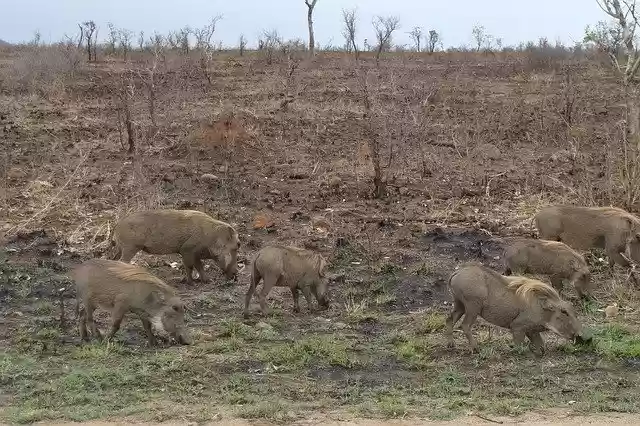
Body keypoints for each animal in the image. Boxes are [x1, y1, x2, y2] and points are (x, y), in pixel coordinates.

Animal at [111, 209, 240, 285]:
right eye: (237, 246)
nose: (235, 275)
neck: (212, 236)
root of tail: (117, 225)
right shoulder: (187, 250)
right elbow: (190, 267)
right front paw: (191, 283)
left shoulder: (196, 254)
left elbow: (199, 266)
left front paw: (207, 281)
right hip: (130, 248)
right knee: (122, 262)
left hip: (121, 249)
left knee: (114, 260)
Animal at [446, 263, 585, 355]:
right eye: (564, 312)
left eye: (572, 308)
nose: (582, 337)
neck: (541, 309)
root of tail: (457, 272)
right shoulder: (518, 326)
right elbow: (520, 345)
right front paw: (519, 350)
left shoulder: (532, 330)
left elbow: (541, 346)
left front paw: (537, 351)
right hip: (472, 306)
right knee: (465, 325)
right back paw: (476, 349)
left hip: (460, 304)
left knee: (449, 320)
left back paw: (451, 345)